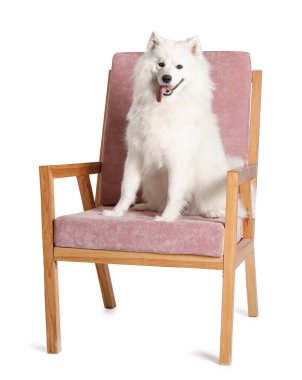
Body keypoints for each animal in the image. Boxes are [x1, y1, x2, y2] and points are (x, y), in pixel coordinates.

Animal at [102, 33, 247, 223]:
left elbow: (174, 192)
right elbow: (127, 188)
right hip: (151, 180)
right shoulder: (135, 155)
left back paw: (213, 212)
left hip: (206, 184)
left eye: (179, 67)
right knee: (158, 202)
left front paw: (167, 218)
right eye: (161, 64)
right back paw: (145, 206)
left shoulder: (178, 159)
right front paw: (116, 213)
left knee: (233, 210)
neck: (164, 106)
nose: (166, 78)